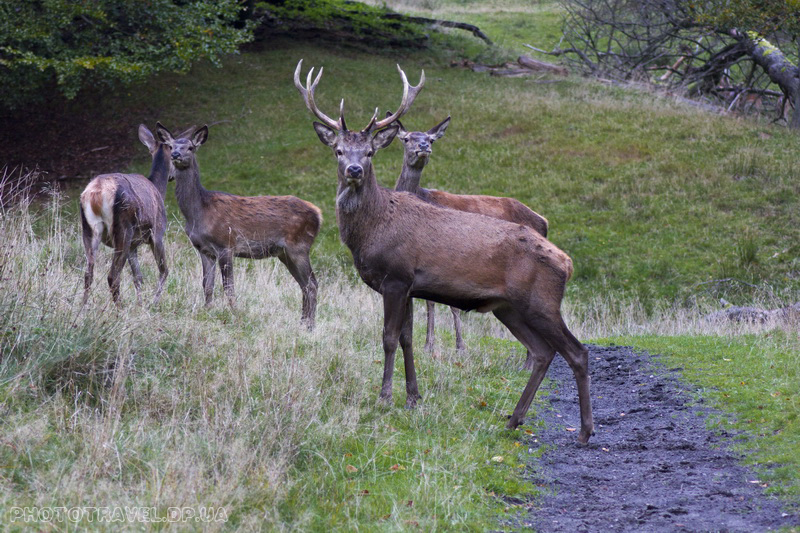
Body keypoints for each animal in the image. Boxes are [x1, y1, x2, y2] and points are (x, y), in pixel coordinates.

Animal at [80, 121, 171, 304]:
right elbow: (164, 271)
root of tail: (97, 193)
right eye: (174, 155)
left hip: (89, 228)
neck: (158, 188)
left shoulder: (134, 245)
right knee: (113, 276)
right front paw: (152, 302)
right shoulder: (157, 233)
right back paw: (119, 308)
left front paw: (140, 304)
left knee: (88, 274)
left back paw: (83, 307)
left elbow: (138, 277)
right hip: (123, 228)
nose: (172, 176)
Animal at [155, 123, 320, 328]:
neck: (199, 212)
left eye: (191, 147)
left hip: (299, 246)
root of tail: (318, 213)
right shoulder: (204, 250)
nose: (176, 154)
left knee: (312, 284)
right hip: (285, 253)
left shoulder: (225, 244)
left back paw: (310, 326)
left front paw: (236, 315)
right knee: (304, 285)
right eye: (171, 146)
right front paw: (206, 312)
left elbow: (228, 287)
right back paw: (302, 323)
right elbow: (207, 285)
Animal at [390, 116, 552, 366]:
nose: (424, 147)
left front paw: (455, 347)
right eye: (407, 138)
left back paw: (528, 362)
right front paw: (429, 346)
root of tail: (544, 221)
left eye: (430, 139)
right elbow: (430, 301)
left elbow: (447, 305)